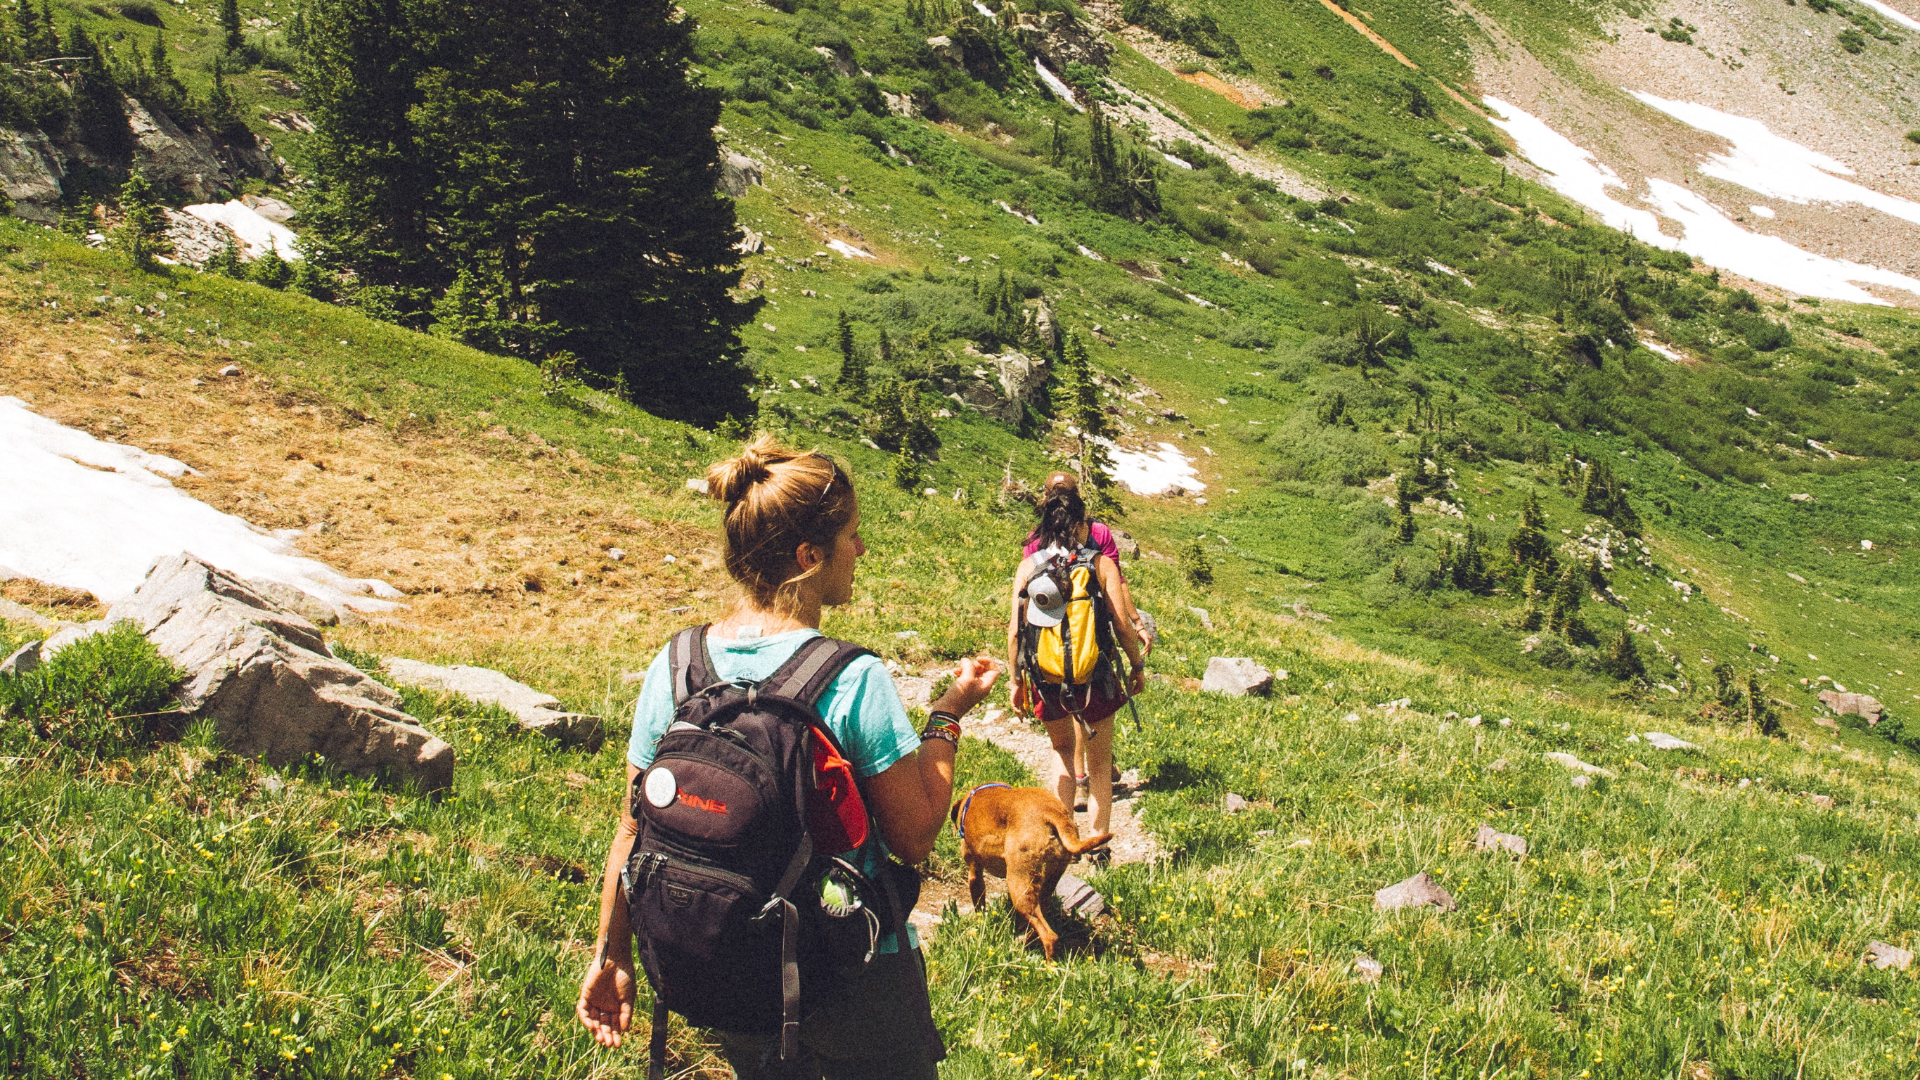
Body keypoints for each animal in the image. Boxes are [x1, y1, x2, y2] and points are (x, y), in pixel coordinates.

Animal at [948, 787, 1113, 953]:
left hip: (1018, 887)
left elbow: (979, 907)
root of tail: (1052, 811)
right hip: (1044, 885)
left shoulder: (974, 873)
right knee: (1040, 919)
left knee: (1049, 937)